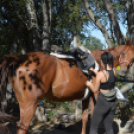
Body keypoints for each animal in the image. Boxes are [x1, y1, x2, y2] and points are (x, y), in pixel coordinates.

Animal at [0, 39, 132, 134]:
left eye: (132, 55)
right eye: (124, 53)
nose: (123, 72)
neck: (100, 62)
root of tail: (18, 58)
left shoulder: (86, 96)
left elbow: (84, 118)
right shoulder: (95, 95)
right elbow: (94, 117)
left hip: (22, 102)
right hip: (31, 103)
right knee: (24, 126)